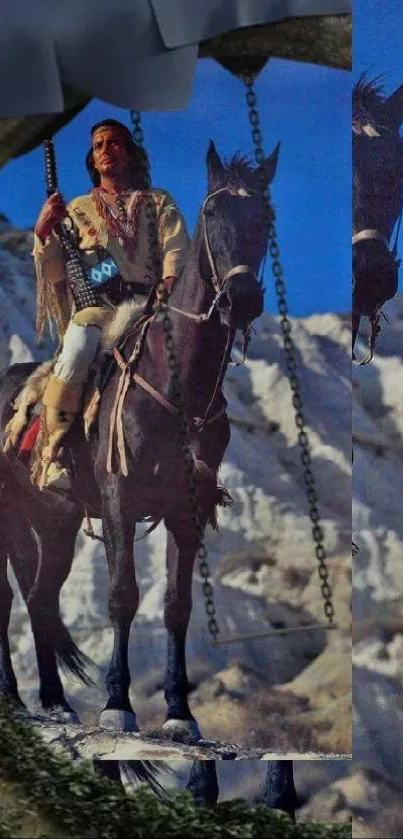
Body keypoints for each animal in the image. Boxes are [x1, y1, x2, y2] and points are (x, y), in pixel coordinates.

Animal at [0, 141, 280, 740]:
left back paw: (55, 702)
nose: (241, 299)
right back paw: (14, 698)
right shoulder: (117, 503)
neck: (176, 387)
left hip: (52, 522)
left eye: (264, 217)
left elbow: (176, 605)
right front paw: (117, 705)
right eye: (213, 212)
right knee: (7, 597)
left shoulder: (185, 511)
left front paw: (179, 713)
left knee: (39, 597)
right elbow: (123, 596)